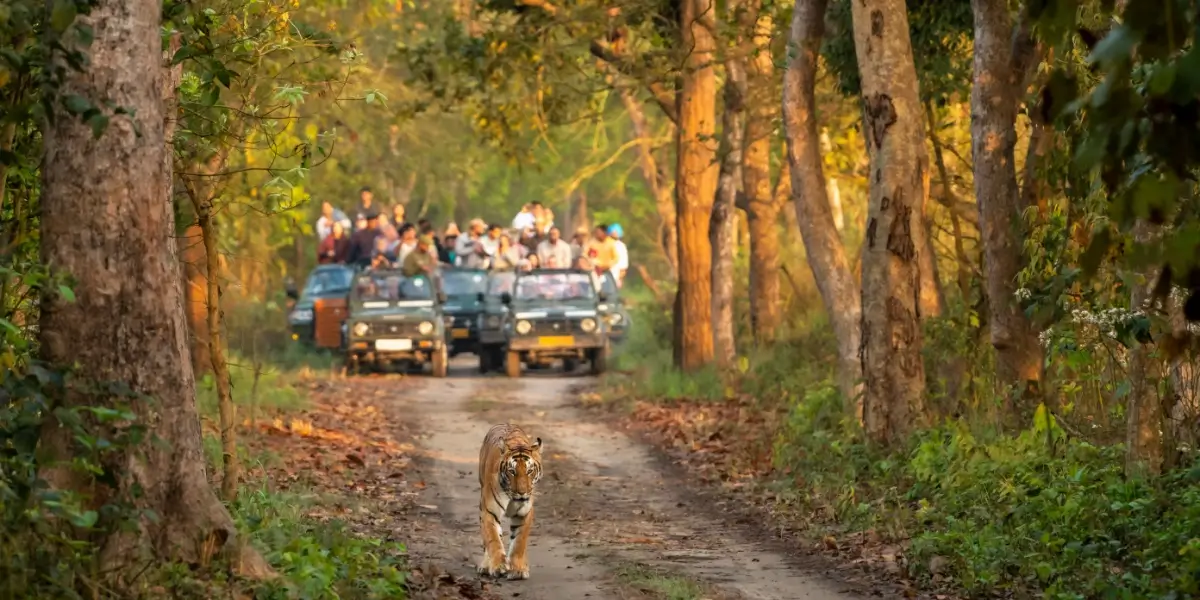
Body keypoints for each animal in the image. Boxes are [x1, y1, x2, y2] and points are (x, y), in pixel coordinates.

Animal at [477, 423, 543, 580]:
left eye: (530, 471)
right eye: (512, 471)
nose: (522, 492)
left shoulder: (524, 514)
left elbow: (519, 542)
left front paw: (518, 569)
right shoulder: (489, 512)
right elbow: (494, 540)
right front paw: (498, 566)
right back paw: (486, 565)